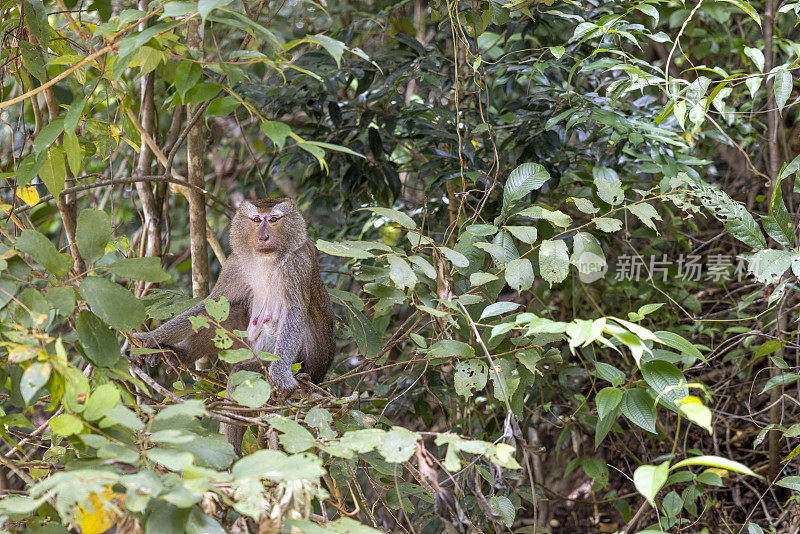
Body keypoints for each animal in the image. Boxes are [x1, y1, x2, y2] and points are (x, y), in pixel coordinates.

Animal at [133, 199, 332, 454]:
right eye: (256, 220)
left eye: (274, 220)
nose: (263, 237)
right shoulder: (234, 264)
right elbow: (211, 306)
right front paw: (152, 339)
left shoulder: (298, 264)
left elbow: (294, 313)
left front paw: (280, 374)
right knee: (231, 314)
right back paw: (179, 354)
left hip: (302, 368)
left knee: (242, 373)